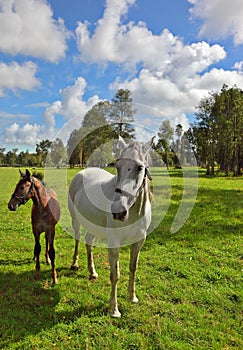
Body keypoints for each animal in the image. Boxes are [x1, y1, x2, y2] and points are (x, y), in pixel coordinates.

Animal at [68, 136, 152, 318]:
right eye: (117, 166)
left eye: (140, 168)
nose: (119, 212)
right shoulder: (114, 242)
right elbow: (115, 275)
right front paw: (114, 309)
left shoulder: (139, 241)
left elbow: (133, 268)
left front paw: (132, 297)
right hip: (75, 221)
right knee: (78, 239)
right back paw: (75, 264)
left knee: (88, 242)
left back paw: (92, 272)